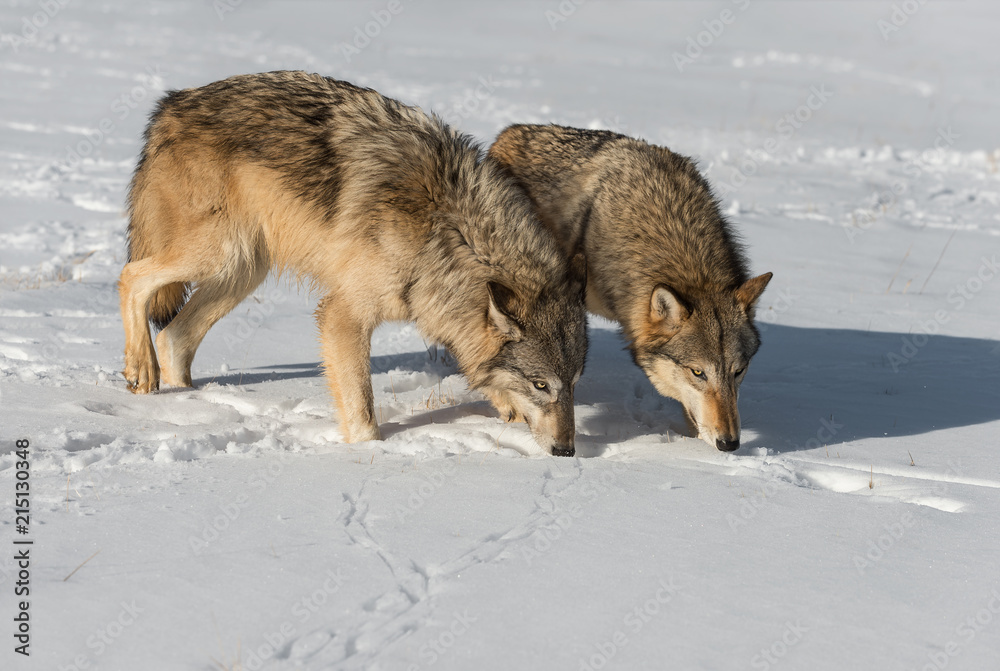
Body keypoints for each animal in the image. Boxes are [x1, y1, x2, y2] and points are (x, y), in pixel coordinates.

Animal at [119, 72, 587, 456]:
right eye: (541, 384)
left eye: (574, 383)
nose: (567, 451)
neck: (450, 230)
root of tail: (172, 103)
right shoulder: (343, 315)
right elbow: (362, 410)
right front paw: (369, 456)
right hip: (219, 254)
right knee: (131, 277)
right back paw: (142, 371)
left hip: (242, 271)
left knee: (174, 337)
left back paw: (188, 401)